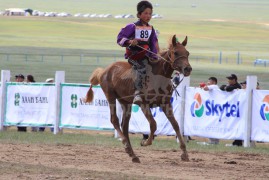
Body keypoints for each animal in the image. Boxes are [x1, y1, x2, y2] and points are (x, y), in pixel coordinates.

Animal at [85, 35, 192, 163]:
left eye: (187, 53)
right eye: (175, 53)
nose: (188, 69)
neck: (157, 77)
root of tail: (104, 71)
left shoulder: (165, 104)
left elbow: (175, 125)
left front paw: (184, 153)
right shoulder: (143, 103)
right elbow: (153, 124)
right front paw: (145, 142)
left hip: (125, 102)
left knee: (124, 125)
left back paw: (132, 154)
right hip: (110, 97)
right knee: (115, 120)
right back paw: (126, 145)